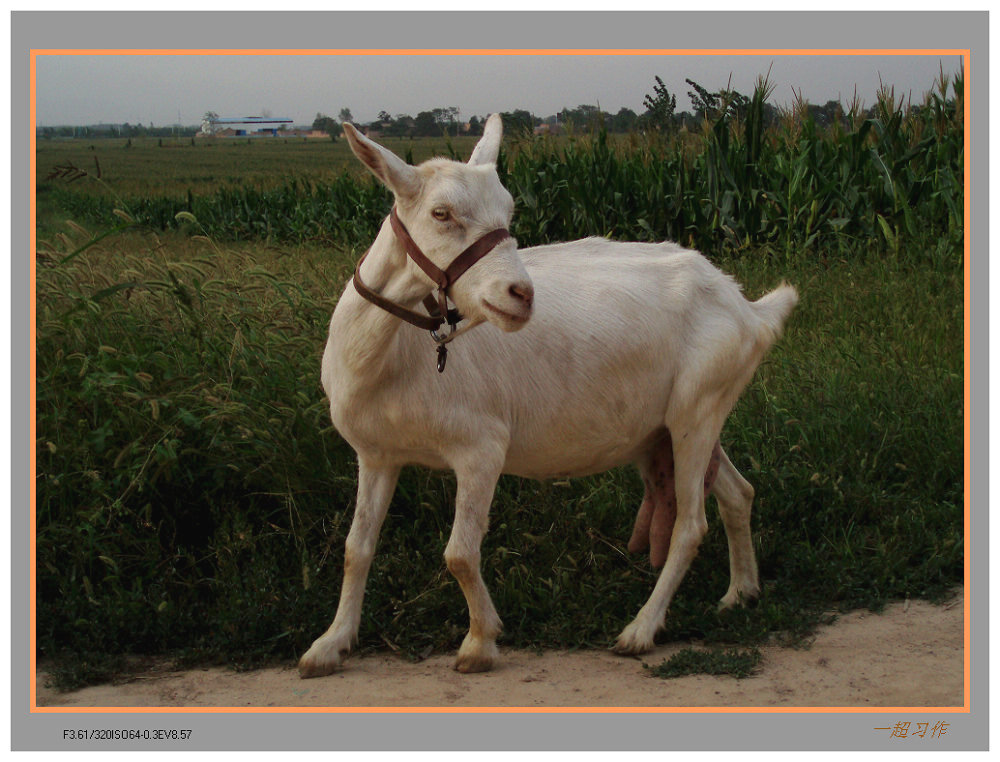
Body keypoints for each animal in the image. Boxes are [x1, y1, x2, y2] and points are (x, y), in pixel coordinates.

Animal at [296, 114, 796, 676]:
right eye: (441, 213)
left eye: (510, 210)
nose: (521, 294)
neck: (399, 352)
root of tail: (746, 306)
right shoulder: (377, 453)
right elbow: (356, 547)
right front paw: (330, 644)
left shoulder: (481, 447)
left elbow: (459, 554)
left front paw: (480, 642)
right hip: (681, 420)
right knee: (738, 492)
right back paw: (741, 592)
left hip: (698, 408)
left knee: (690, 524)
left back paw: (641, 630)